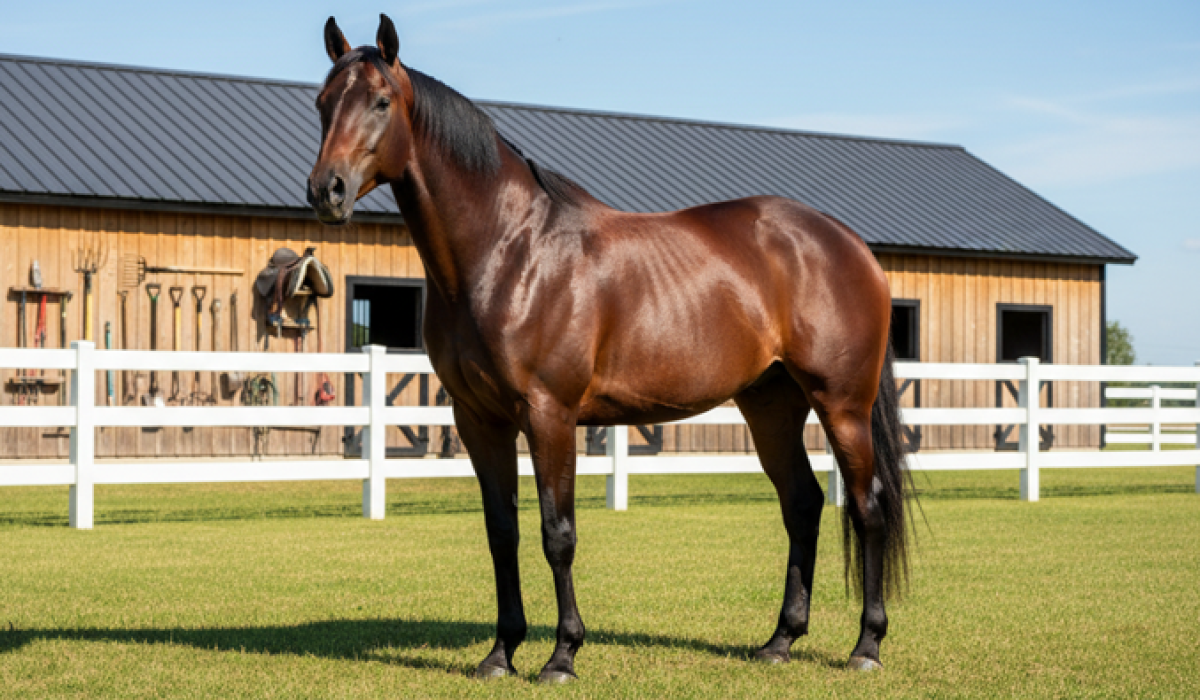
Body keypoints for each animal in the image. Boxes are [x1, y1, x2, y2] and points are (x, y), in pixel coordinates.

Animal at [308, 14, 911, 683]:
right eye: (323, 103)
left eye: (381, 102)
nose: (327, 191)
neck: (508, 250)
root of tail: (849, 244)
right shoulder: (479, 420)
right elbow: (502, 533)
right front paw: (500, 653)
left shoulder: (550, 414)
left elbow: (557, 533)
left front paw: (562, 655)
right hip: (771, 403)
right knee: (802, 504)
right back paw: (780, 640)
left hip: (842, 405)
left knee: (868, 507)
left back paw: (866, 646)